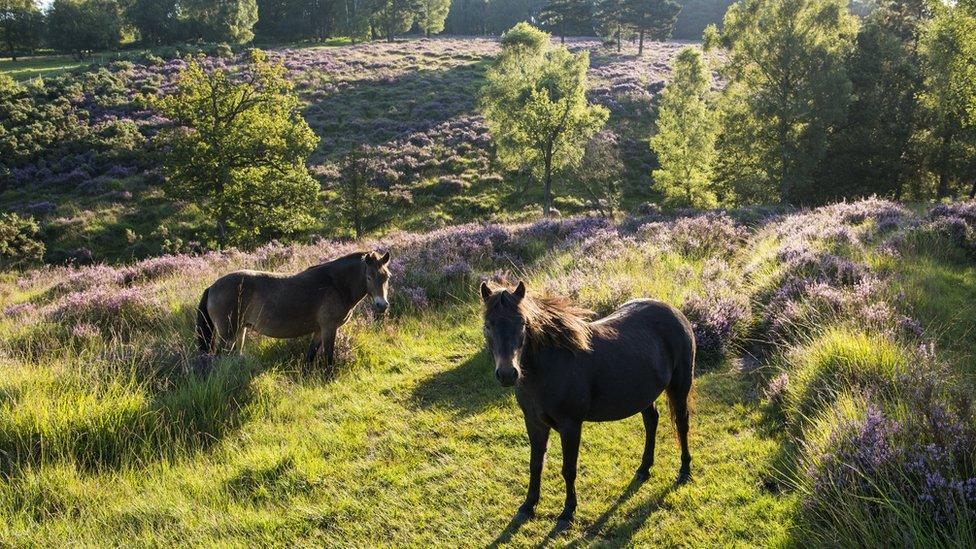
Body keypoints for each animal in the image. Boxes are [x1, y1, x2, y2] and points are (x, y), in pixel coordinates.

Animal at [196, 250, 390, 366]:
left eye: (387, 276)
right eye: (369, 276)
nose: (382, 305)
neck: (335, 284)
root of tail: (212, 287)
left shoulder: (319, 330)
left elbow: (310, 356)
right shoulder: (329, 328)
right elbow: (328, 357)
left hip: (239, 332)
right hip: (227, 335)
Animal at [480, 280, 692, 528]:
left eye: (522, 323)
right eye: (488, 325)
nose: (507, 374)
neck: (550, 366)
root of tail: (675, 312)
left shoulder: (570, 426)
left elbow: (568, 469)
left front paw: (568, 511)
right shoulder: (534, 423)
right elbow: (535, 464)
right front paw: (528, 506)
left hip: (679, 387)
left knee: (682, 425)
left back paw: (685, 470)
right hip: (644, 394)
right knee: (651, 421)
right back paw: (643, 469)